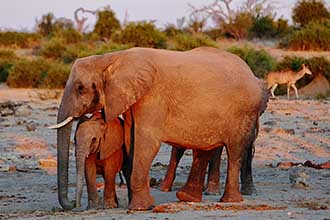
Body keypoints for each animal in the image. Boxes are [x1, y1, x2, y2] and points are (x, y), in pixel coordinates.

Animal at [51, 47, 268, 211]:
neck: (112, 58)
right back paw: (187, 197)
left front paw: (140, 207)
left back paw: (230, 201)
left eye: (80, 88)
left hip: (244, 112)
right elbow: (131, 141)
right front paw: (140, 204)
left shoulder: (152, 97)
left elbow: (147, 141)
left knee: (235, 151)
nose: (73, 204)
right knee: (204, 149)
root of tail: (251, 72)